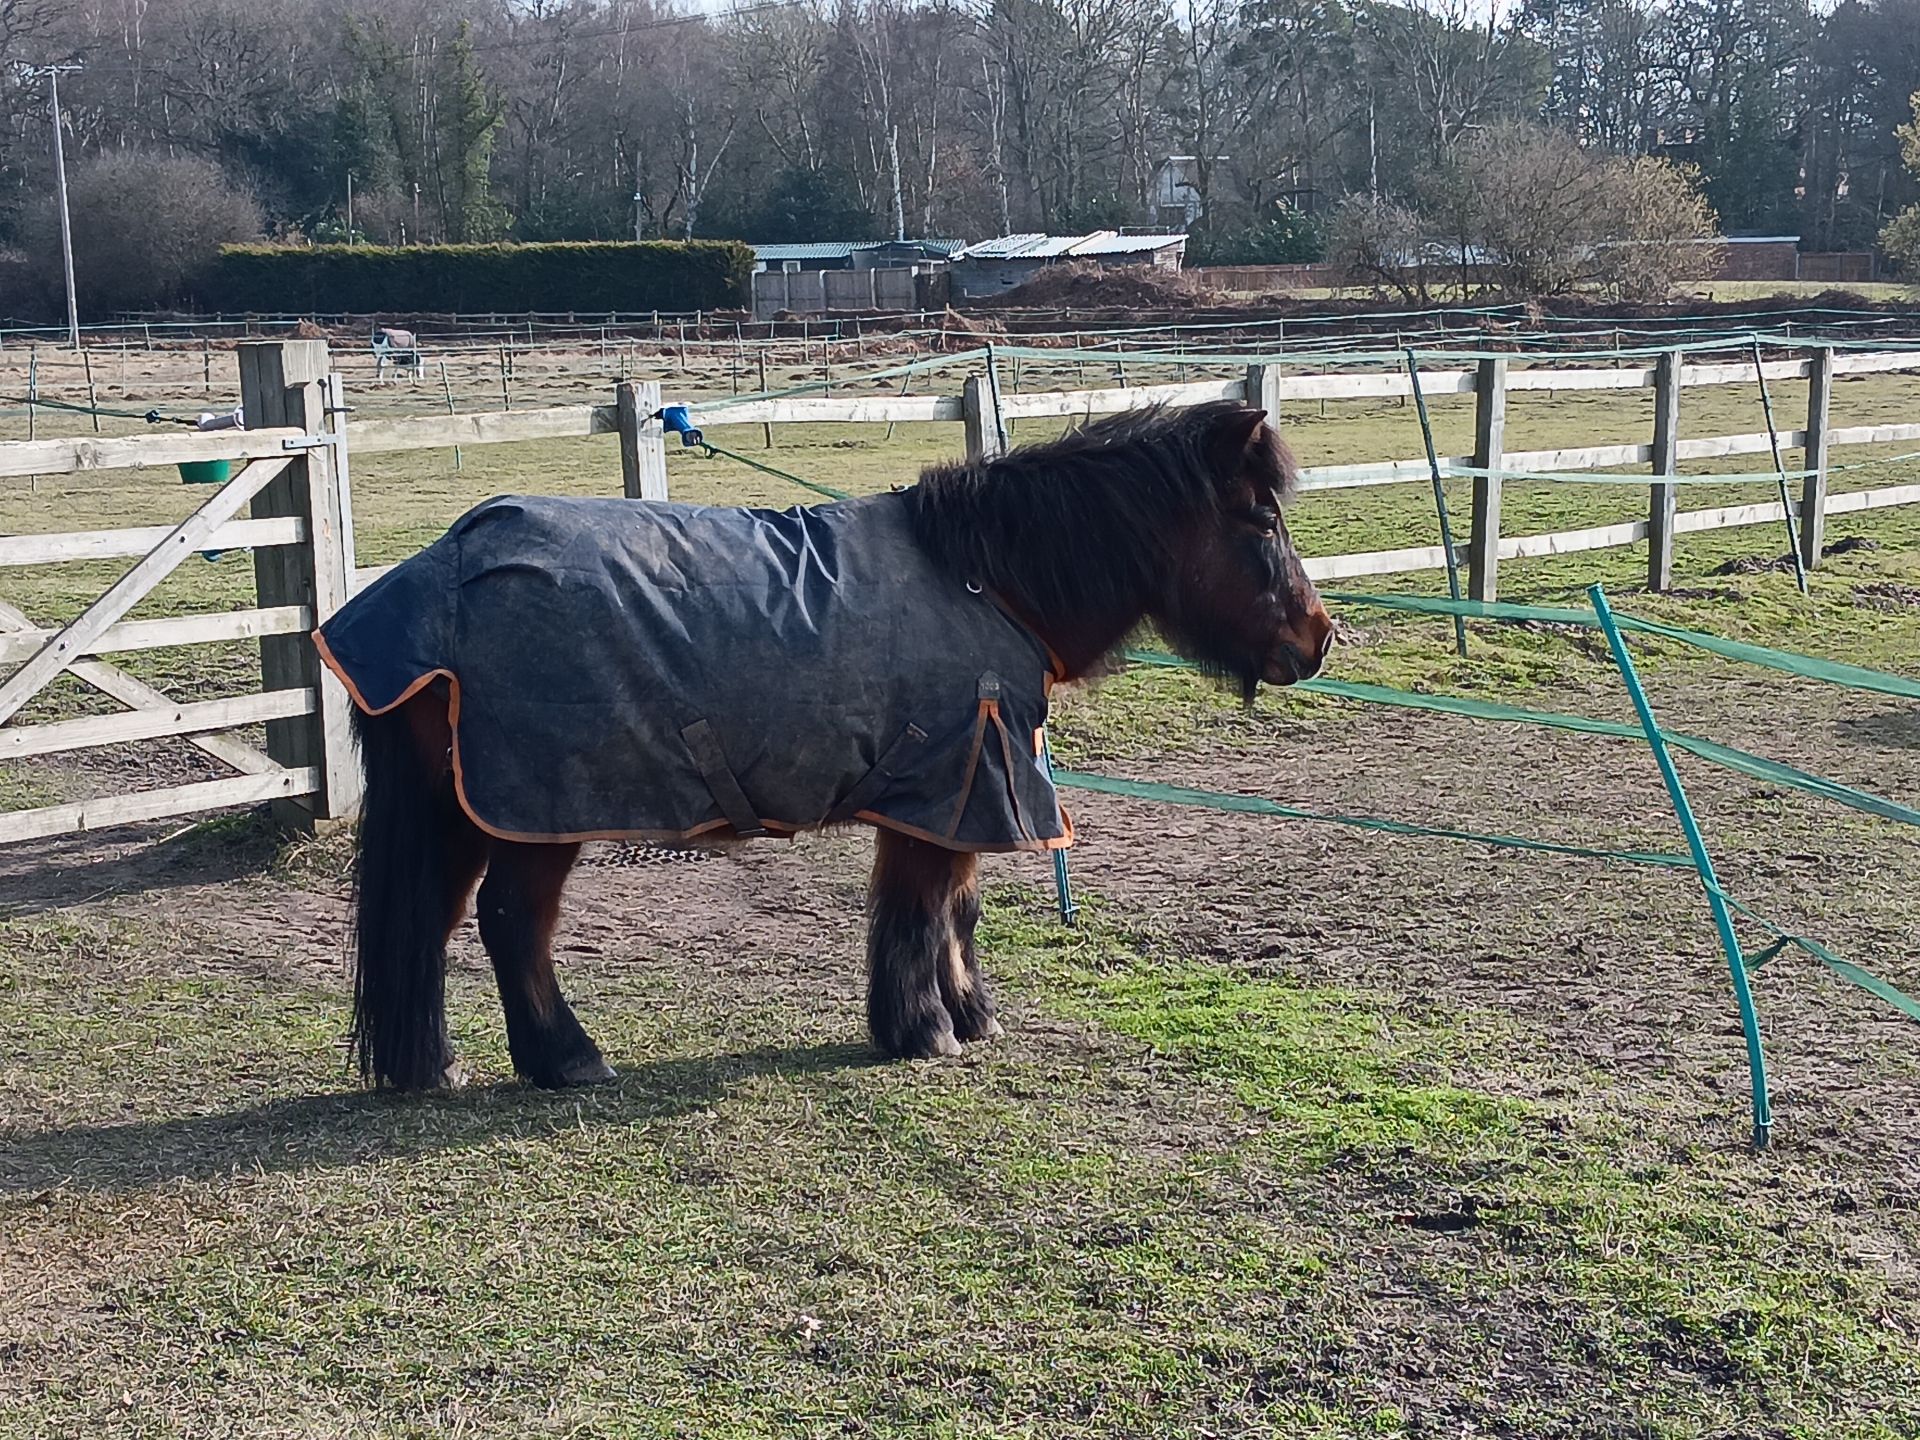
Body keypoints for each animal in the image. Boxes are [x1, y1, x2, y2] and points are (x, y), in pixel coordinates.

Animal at [318, 400, 1334, 1092]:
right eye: (1261, 521)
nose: (1321, 640)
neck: (990, 580)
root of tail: (423, 581)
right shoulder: (948, 788)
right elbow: (921, 911)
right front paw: (922, 1029)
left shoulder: (961, 794)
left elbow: (957, 910)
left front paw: (968, 1015)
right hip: (538, 811)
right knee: (508, 922)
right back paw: (566, 1057)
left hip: (465, 810)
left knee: (431, 921)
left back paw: (431, 1063)